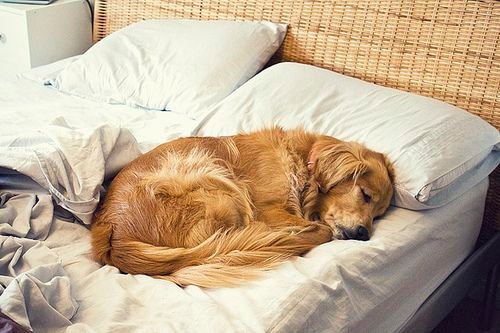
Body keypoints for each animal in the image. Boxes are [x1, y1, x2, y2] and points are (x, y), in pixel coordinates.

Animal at [91, 126, 394, 286]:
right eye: (365, 194)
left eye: (379, 214)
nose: (364, 234)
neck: (304, 160)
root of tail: (114, 236)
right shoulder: (270, 209)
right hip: (214, 179)